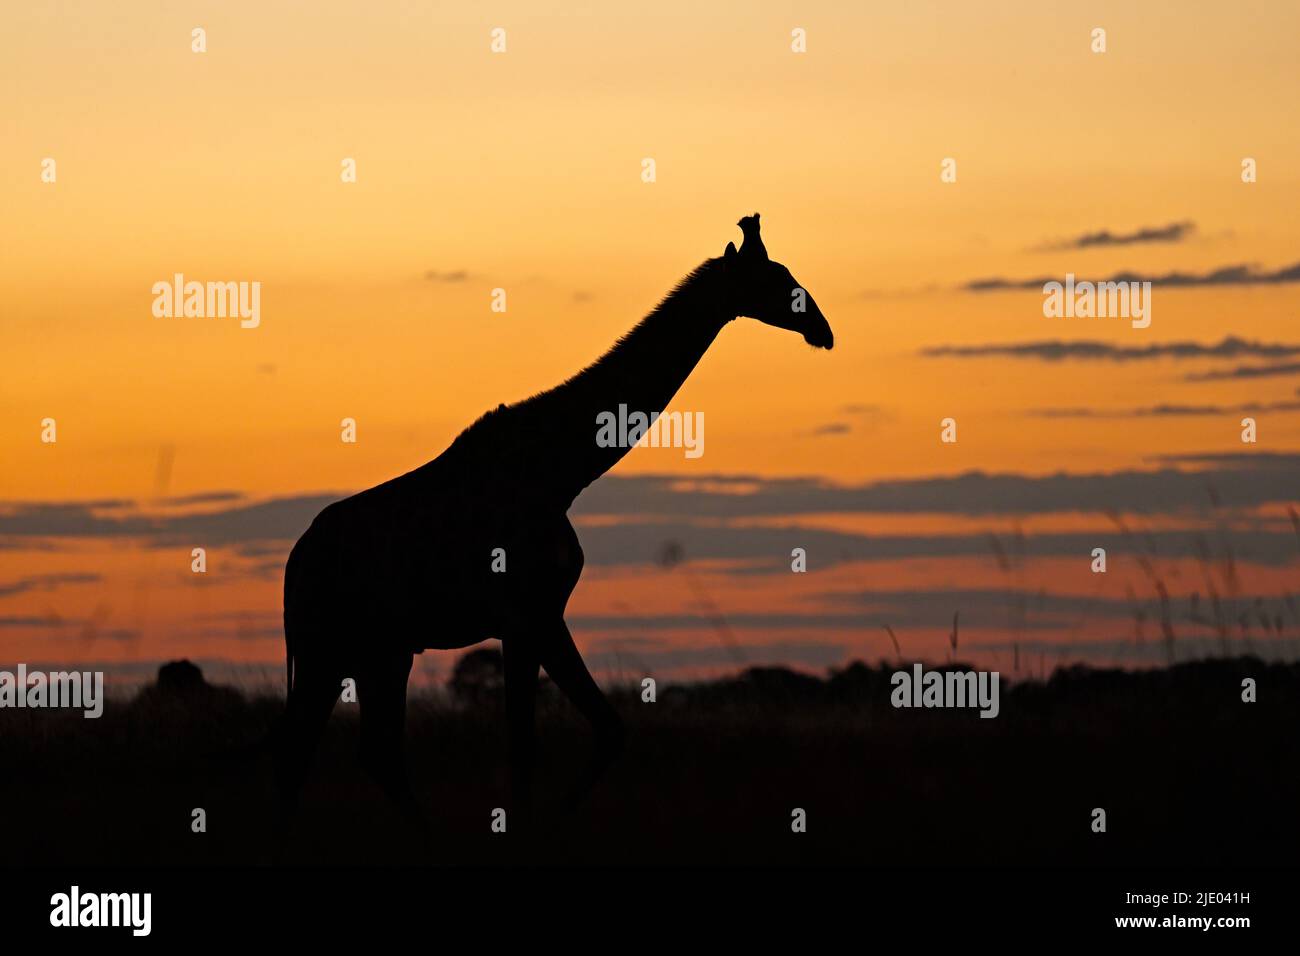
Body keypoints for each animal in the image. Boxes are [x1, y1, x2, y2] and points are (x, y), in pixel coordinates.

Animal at [276, 214, 834, 827]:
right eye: (775, 278)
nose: (823, 329)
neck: (563, 469)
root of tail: (294, 562)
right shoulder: (529, 613)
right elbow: (531, 744)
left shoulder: (535, 617)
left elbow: (593, 732)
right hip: (328, 647)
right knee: (304, 753)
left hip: (383, 650)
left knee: (367, 752)